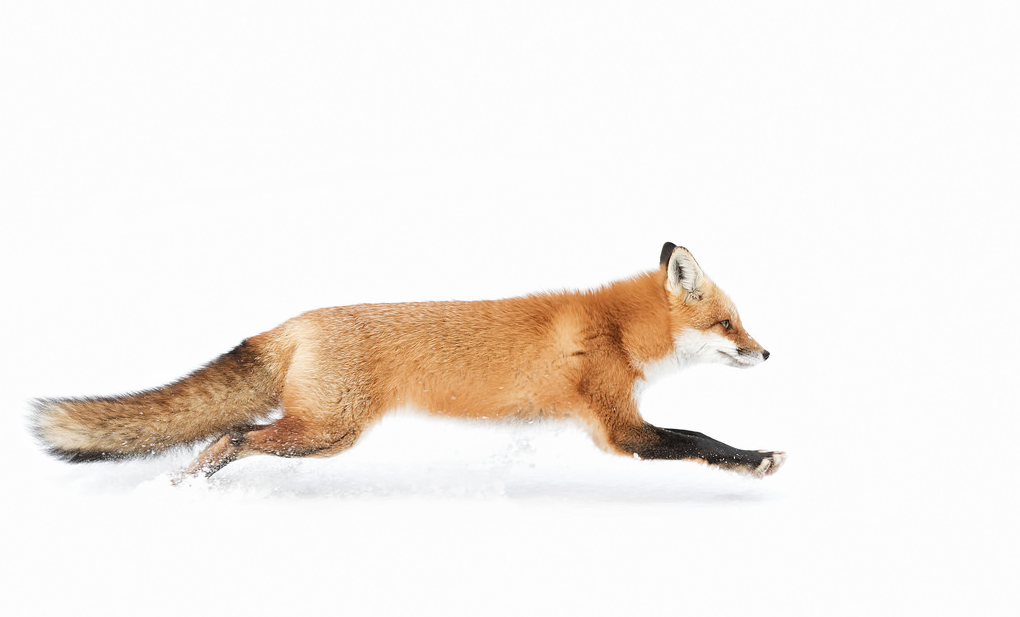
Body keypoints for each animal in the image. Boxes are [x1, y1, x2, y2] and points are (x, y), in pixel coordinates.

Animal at [29, 242, 779, 479]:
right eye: (728, 323)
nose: (766, 350)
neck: (617, 330)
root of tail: (293, 322)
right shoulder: (619, 429)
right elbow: (699, 438)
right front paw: (758, 459)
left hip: (323, 434)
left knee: (231, 435)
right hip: (325, 433)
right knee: (231, 435)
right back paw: (190, 488)